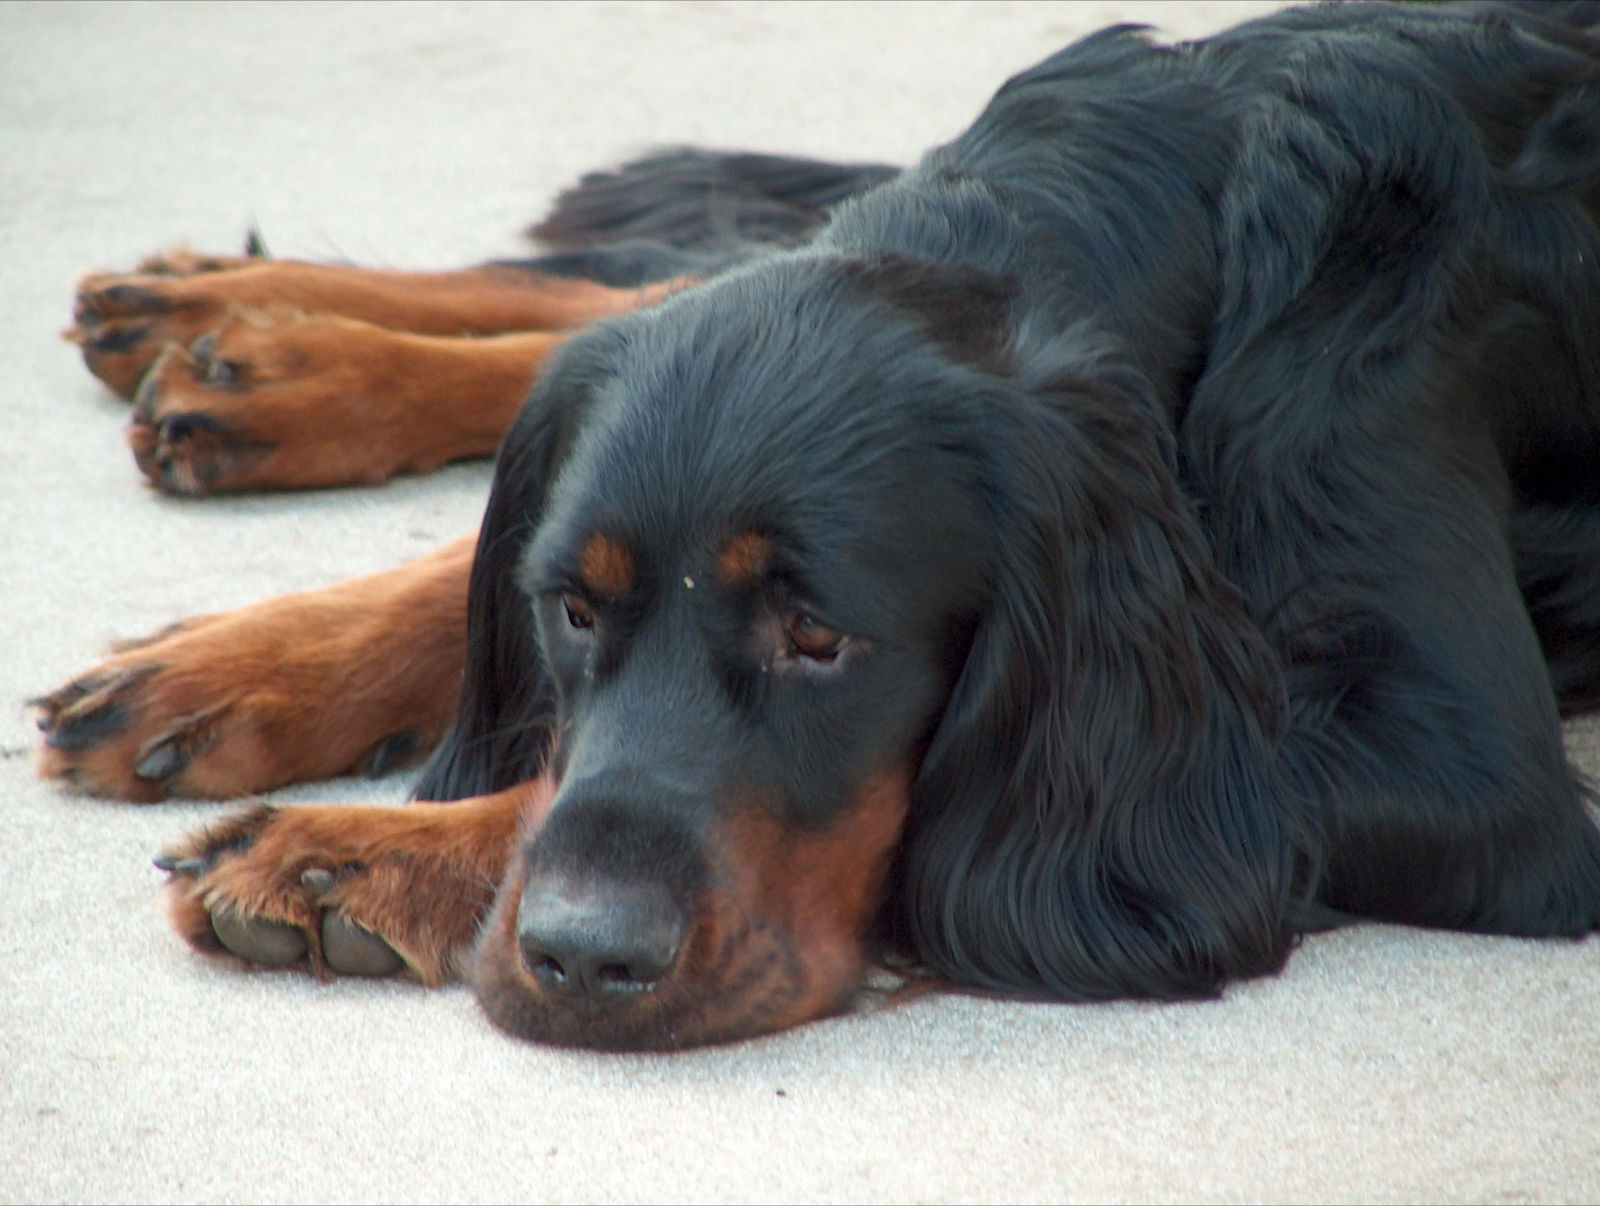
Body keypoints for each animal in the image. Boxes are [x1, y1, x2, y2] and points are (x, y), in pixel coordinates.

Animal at [28, 2, 1600, 1042]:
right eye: (571, 610)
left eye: (822, 639)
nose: (585, 960)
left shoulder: (1458, 766)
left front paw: (349, 852)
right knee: (634, 289)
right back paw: (239, 358)